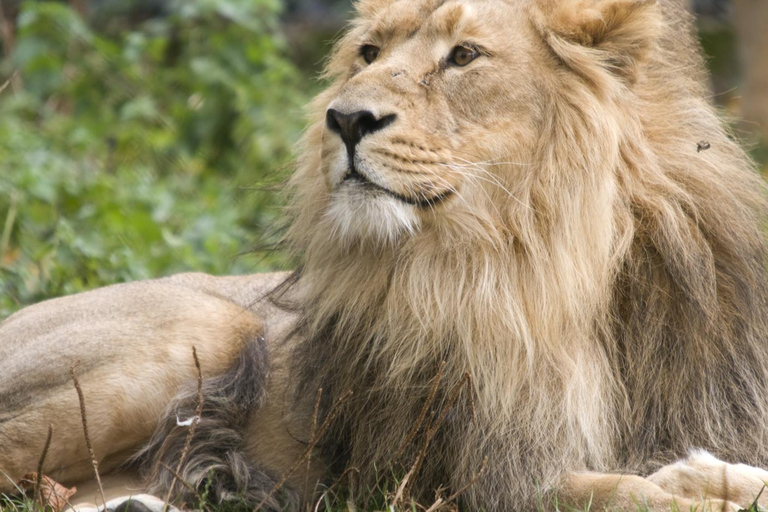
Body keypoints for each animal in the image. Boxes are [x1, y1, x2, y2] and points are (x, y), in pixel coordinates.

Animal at [3, 0, 768, 510]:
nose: (345, 119)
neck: (556, 269)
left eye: (464, 56)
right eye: (369, 54)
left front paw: (726, 480)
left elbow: (687, 472)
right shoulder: (473, 479)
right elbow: (628, 493)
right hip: (210, 325)